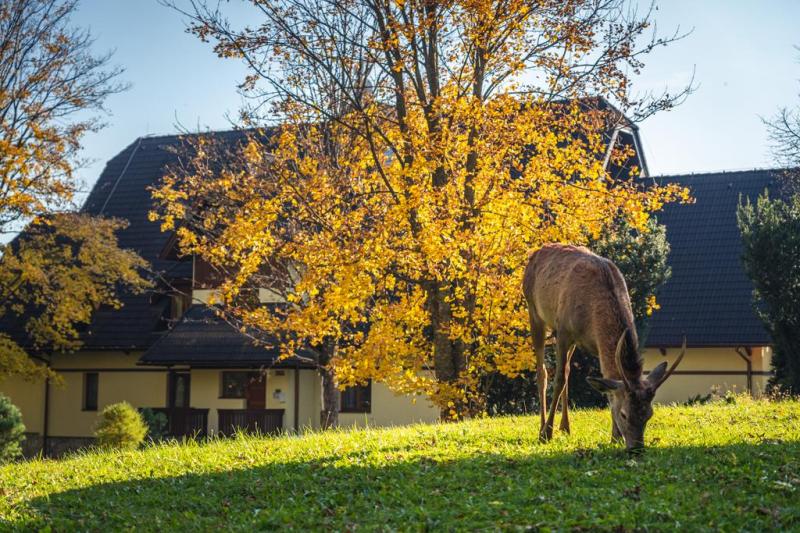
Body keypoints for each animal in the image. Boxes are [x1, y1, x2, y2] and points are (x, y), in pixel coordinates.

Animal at [520, 244, 684, 448]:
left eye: (649, 415)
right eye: (624, 414)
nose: (637, 448)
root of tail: (536, 253)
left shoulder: (594, 345)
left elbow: (607, 381)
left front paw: (614, 437)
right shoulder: (564, 330)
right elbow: (557, 381)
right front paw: (546, 434)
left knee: (567, 371)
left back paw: (565, 427)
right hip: (534, 311)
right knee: (542, 372)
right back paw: (543, 427)